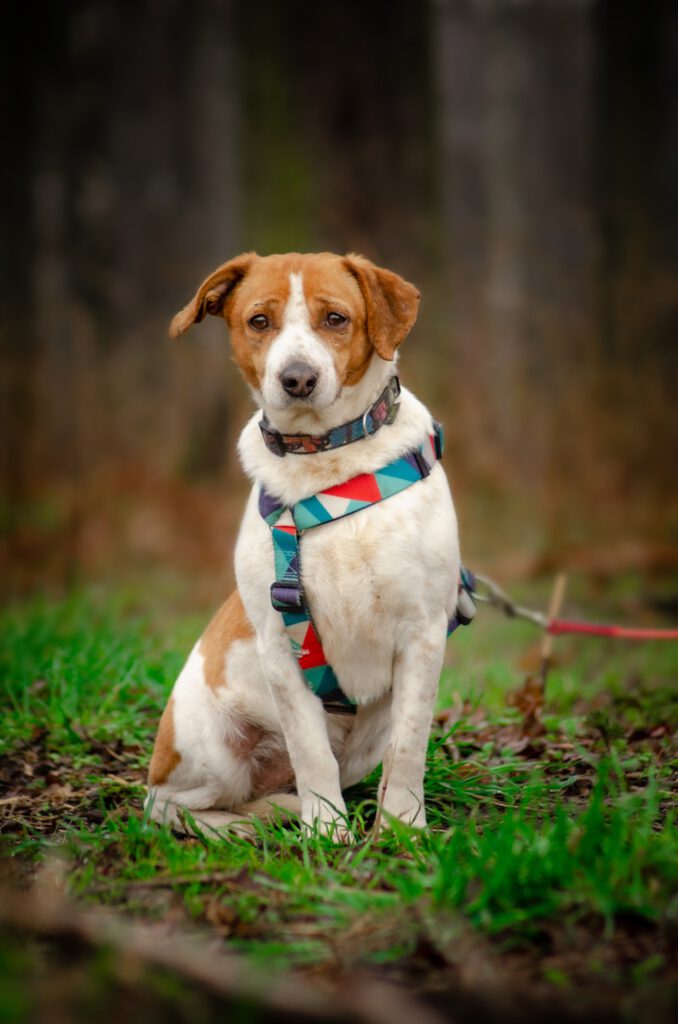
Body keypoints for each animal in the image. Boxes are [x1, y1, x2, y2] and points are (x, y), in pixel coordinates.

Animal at [146, 251, 464, 835]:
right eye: (259, 321)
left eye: (335, 318)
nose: (297, 378)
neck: (328, 462)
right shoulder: (281, 648)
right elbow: (310, 752)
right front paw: (327, 833)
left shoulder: (424, 633)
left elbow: (409, 747)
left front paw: (402, 828)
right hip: (211, 749)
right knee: (165, 804)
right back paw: (239, 826)